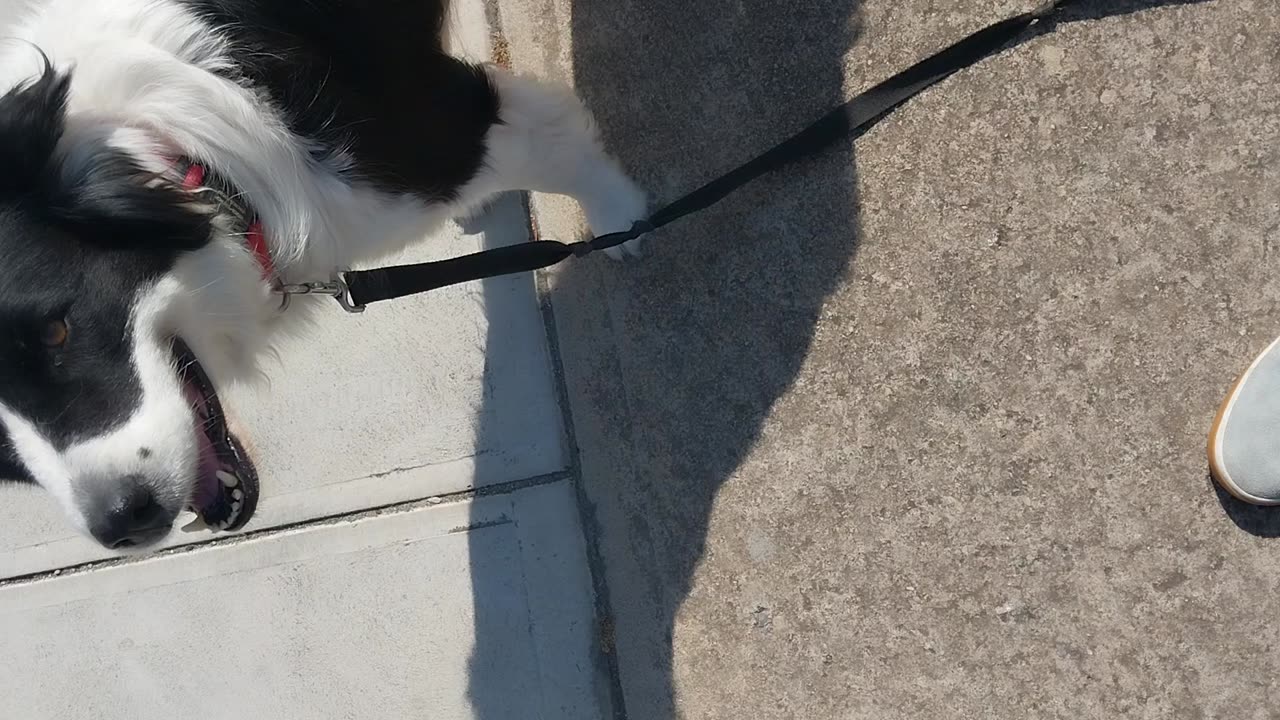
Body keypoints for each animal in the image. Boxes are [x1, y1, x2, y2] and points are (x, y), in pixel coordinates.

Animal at [0, 1, 645, 548]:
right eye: (2, 458)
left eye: (58, 331)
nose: (123, 523)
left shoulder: (442, 133)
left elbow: (559, 152)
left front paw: (622, 219)